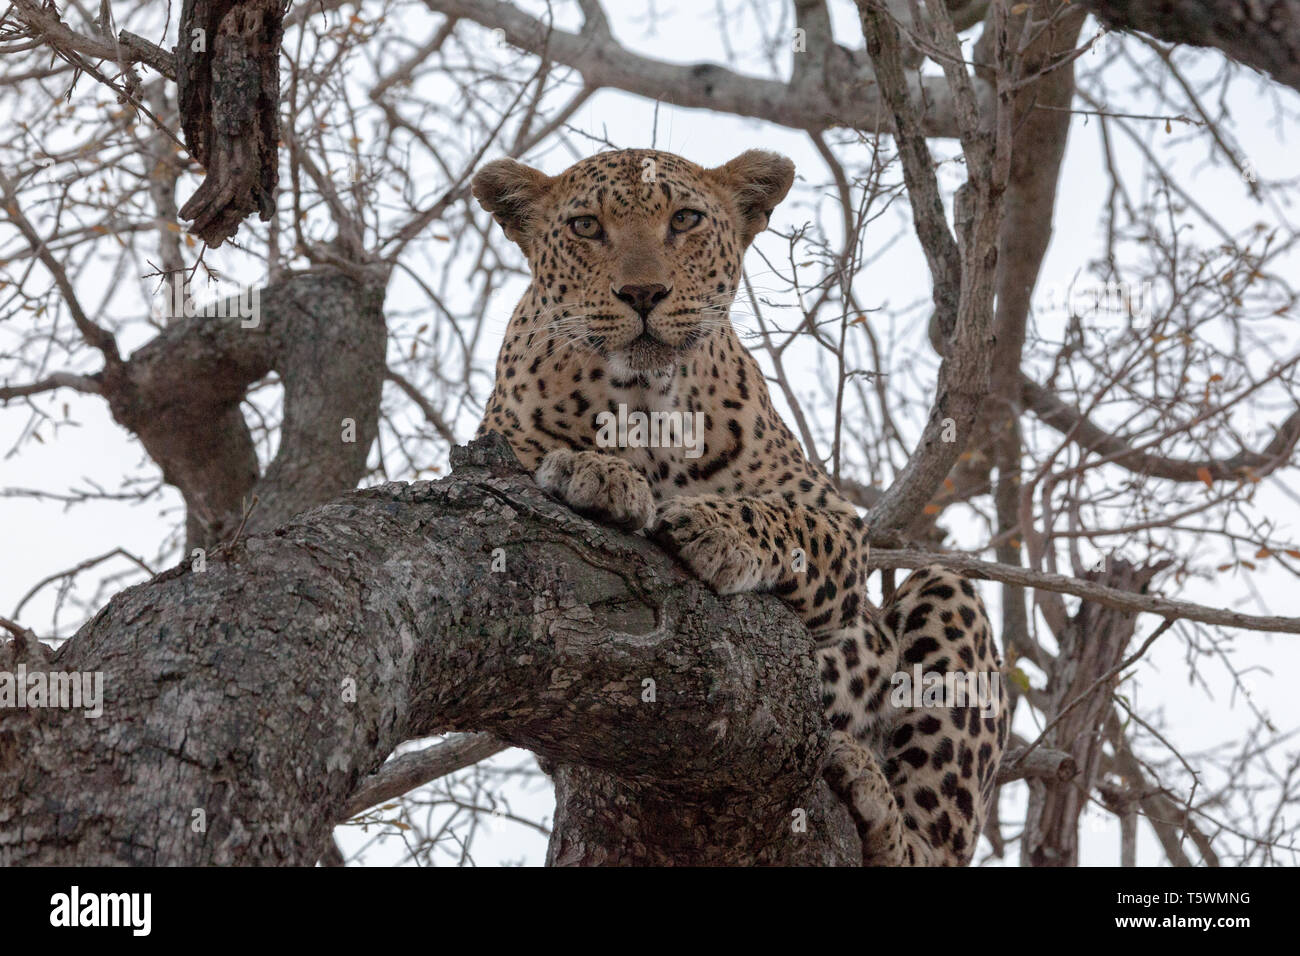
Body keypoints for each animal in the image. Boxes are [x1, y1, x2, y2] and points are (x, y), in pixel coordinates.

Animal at [471, 147, 1009, 866]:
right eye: (585, 226)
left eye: (685, 220)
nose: (643, 294)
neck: (648, 405)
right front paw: (595, 471)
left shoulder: (839, 527)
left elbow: (787, 523)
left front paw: (712, 528)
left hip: (946, 592)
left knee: (934, 845)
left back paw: (868, 786)